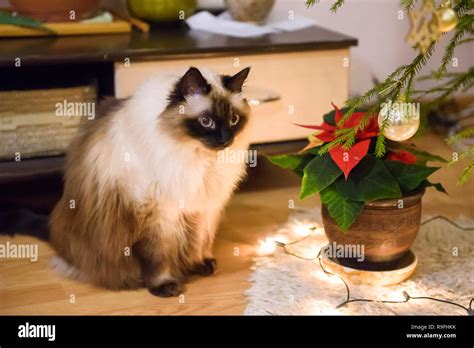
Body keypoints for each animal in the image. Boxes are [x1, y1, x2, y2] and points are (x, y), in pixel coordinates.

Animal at [49, 67, 252, 296]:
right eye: (206, 121)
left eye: (234, 119)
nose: (226, 140)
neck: (198, 158)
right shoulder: (158, 217)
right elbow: (158, 257)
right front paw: (164, 286)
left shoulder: (199, 208)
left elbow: (196, 242)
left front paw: (198, 264)